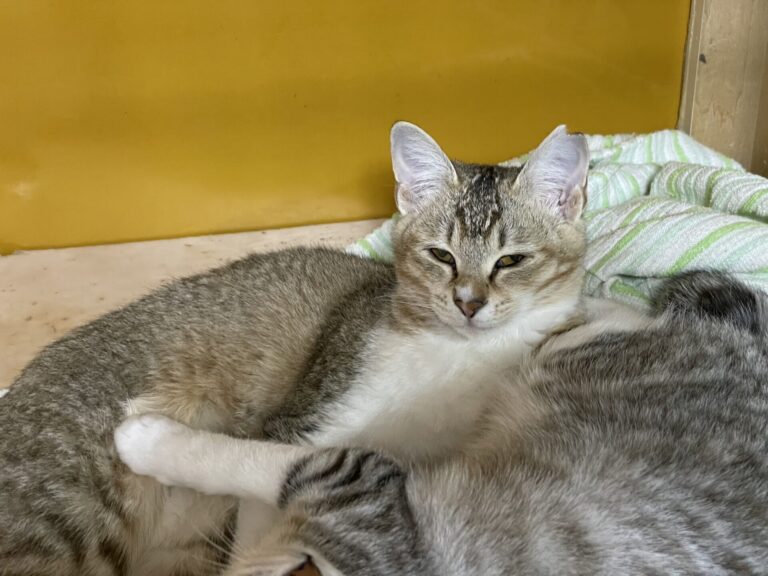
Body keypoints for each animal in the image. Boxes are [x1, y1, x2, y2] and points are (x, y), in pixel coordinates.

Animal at [0, 121, 589, 575]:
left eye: (510, 260)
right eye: (441, 256)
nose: (468, 302)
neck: (454, 359)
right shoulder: (302, 422)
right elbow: (257, 515)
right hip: (67, 504)